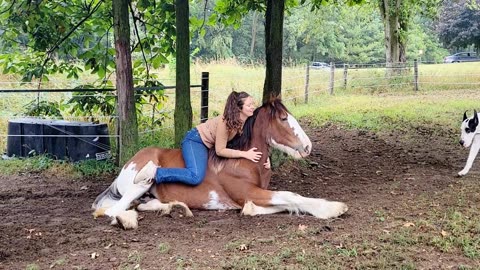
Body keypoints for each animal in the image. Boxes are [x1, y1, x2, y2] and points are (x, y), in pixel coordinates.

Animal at [93, 98, 348, 229]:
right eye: (284, 118)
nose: (308, 146)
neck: (243, 160)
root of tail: (129, 164)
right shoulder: (248, 192)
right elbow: (291, 196)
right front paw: (332, 208)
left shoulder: (254, 195)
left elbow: (282, 204)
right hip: (140, 184)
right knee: (114, 209)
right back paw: (126, 220)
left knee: (141, 205)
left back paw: (174, 208)